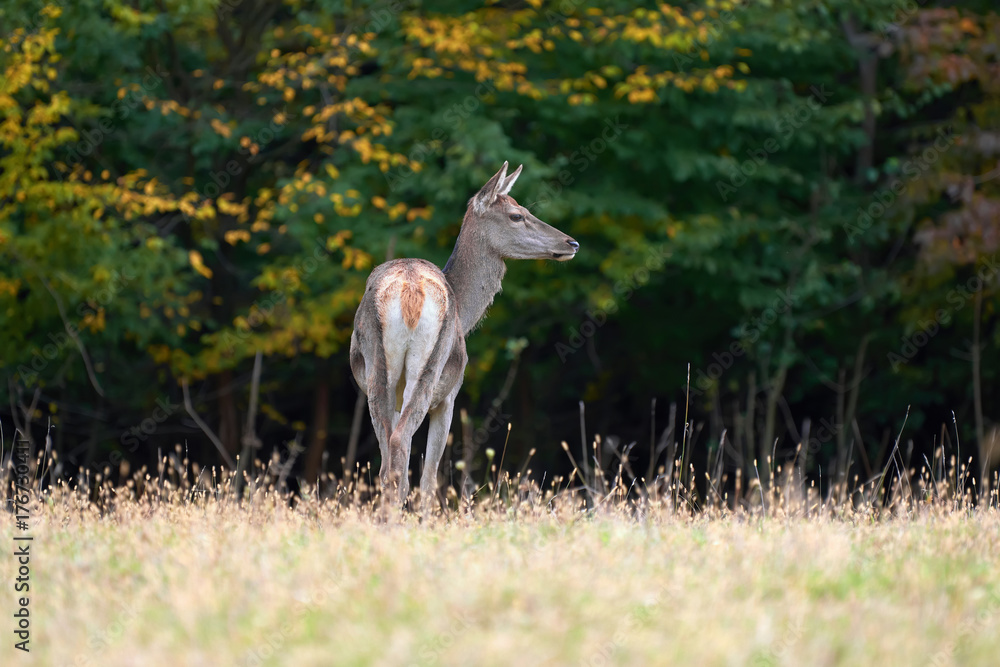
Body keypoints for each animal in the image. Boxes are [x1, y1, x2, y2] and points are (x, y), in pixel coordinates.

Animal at [348, 162, 580, 506]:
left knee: (387, 460)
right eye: (517, 214)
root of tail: (409, 290)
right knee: (402, 448)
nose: (571, 243)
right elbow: (430, 478)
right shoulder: (451, 394)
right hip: (432, 365)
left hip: (378, 370)